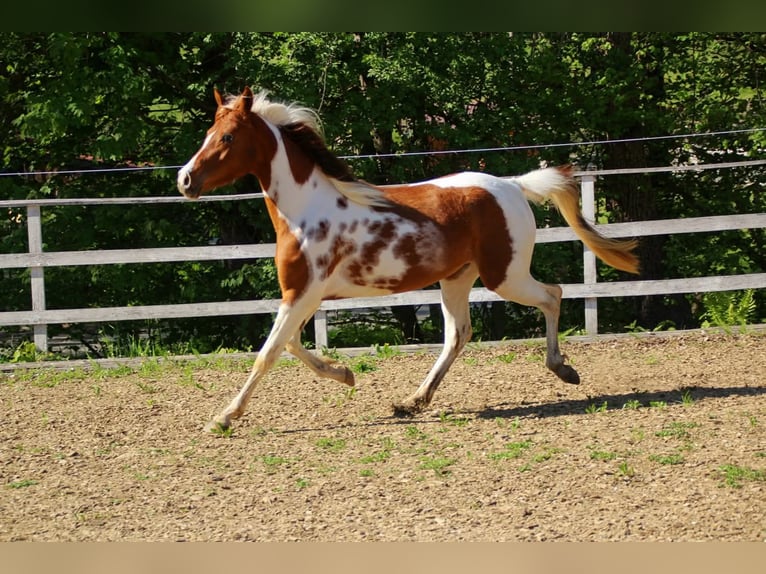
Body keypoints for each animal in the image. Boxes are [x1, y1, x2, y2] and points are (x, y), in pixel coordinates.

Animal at [177, 86, 639, 433]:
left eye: (228, 138)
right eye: (209, 131)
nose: (184, 180)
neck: (305, 209)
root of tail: (512, 185)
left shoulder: (302, 294)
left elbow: (269, 351)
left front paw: (223, 417)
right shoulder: (304, 295)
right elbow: (289, 345)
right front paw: (345, 374)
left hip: (504, 275)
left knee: (552, 295)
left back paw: (563, 369)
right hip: (457, 278)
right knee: (459, 334)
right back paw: (413, 401)